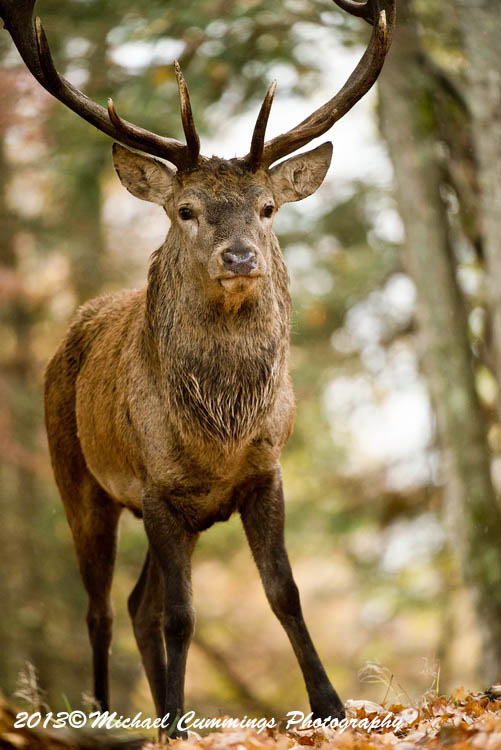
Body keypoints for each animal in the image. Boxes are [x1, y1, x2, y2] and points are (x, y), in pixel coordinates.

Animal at [0, 0, 395, 737]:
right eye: (186, 211)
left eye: (267, 207)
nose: (240, 256)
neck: (220, 433)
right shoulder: (158, 486)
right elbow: (183, 616)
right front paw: (178, 728)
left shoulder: (262, 473)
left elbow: (284, 591)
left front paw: (328, 709)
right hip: (79, 480)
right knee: (101, 608)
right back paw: (104, 721)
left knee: (137, 604)